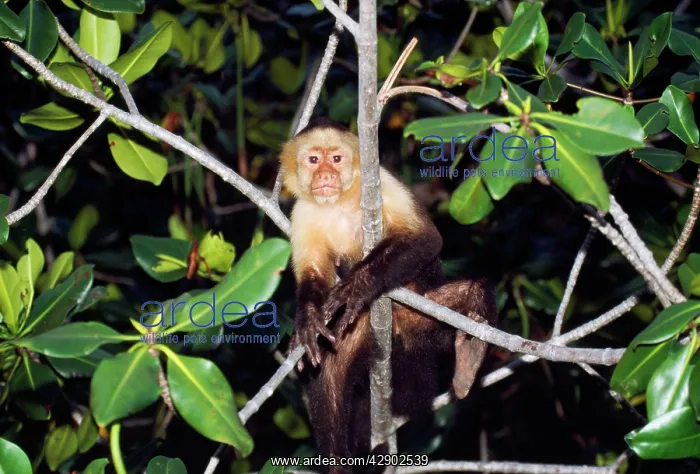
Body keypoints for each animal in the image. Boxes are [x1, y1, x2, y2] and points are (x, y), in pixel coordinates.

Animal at [280, 117, 497, 471]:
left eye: (336, 159)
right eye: (313, 160)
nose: (325, 176)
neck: (338, 203)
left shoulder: (383, 183)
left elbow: (424, 240)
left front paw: (354, 288)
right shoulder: (302, 214)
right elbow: (312, 277)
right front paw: (308, 320)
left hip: (421, 317)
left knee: (472, 290)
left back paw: (469, 356)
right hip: (358, 332)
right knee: (328, 376)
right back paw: (337, 462)